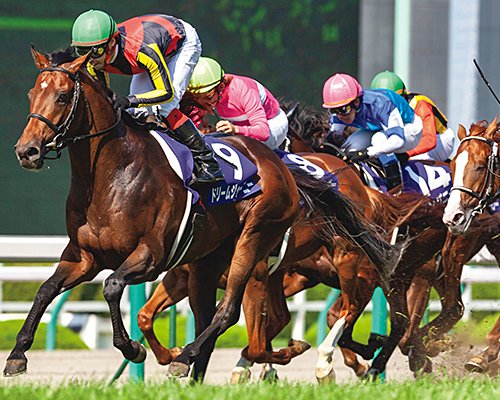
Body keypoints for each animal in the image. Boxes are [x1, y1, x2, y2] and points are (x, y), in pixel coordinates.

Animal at [6, 47, 398, 380]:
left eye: (61, 96)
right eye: (31, 94)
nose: (27, 150)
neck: (112, 175)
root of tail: (282, 168)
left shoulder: (151, 256)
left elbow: (113, 286)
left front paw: (132, 348)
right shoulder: (84, 257)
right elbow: (46, 290)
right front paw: (17, 354)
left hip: (268, 243)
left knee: (240, 312)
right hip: (211, 263)